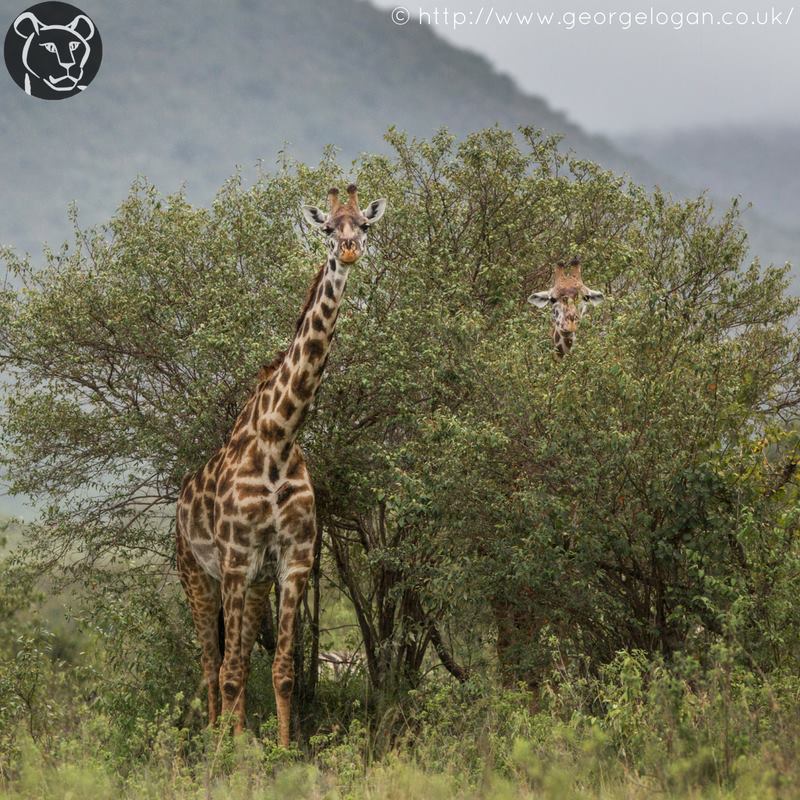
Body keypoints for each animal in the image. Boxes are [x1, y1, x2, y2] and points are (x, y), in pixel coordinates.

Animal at [176, 184, 387, 745]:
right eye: (328, 228)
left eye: (364, 225)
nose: (350, 250)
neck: (278, 435)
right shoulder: (233, 559)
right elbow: (228, 671)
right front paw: (227, 755)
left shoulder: (291, 560)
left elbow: (284, 669)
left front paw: (284, 750)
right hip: (196, 576)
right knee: (211, 664)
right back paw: (214, 735)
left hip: (254, 585)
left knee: (239, 660)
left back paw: (237, 733)